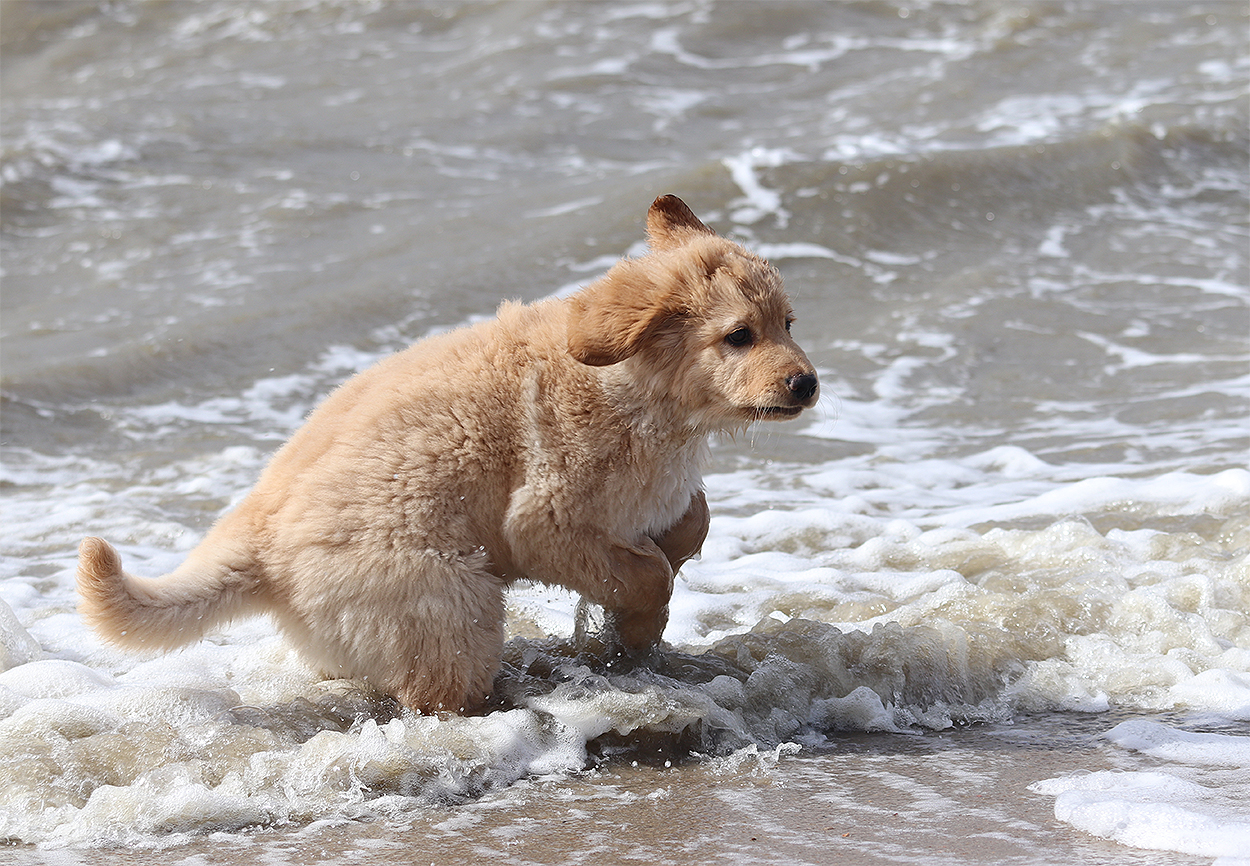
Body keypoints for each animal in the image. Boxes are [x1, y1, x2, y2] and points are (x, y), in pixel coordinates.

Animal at [77, 195, 819, 714]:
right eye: (739, 336)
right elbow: (646, 574)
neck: (639, 390)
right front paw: (641, 628)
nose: (807, 383)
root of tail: (257, 542)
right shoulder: (545, 520)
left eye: (788, 324)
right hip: (447, 600)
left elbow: (692, 522)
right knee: (437, 688)